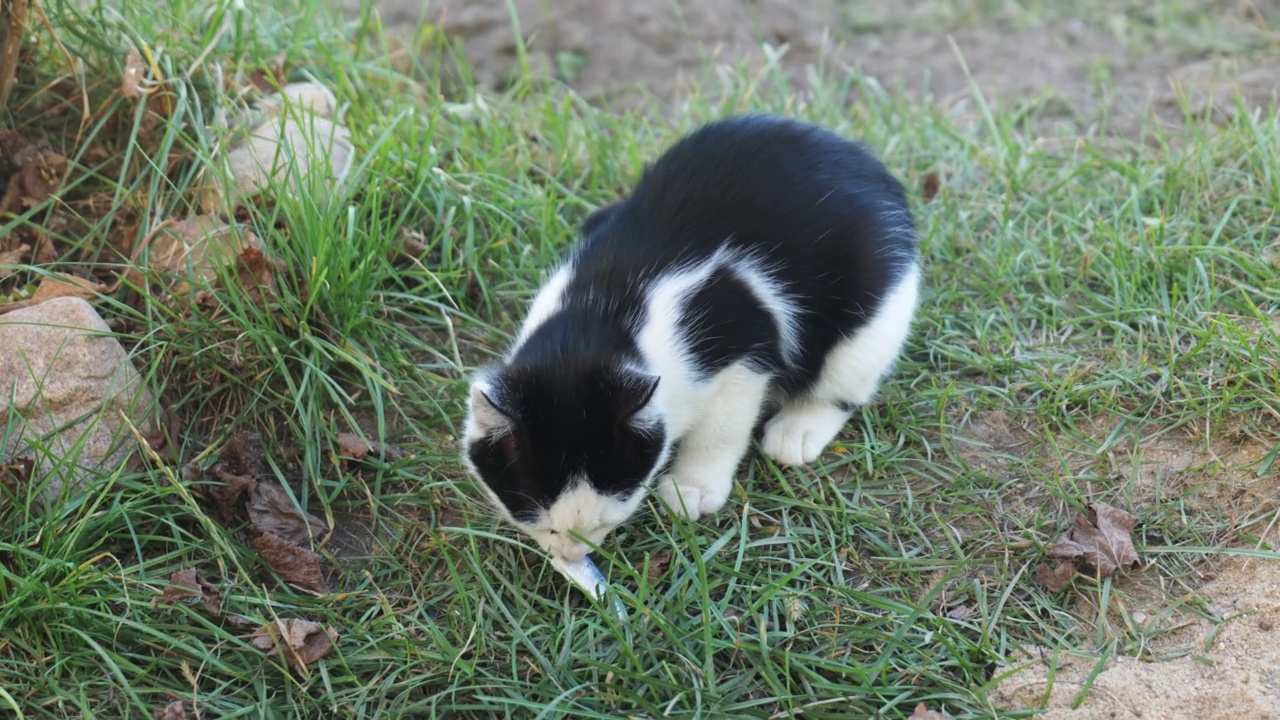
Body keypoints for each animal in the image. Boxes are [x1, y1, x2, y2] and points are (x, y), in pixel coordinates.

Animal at [460, 112, 921, 563]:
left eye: (601, 524)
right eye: (545, 526)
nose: (572, 554)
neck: (600, 314)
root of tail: (863, 159)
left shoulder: (745, 343)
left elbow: (721, 427)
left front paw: (693, 487)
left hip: (874, 318)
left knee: (842, 384)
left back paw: (799, 429)